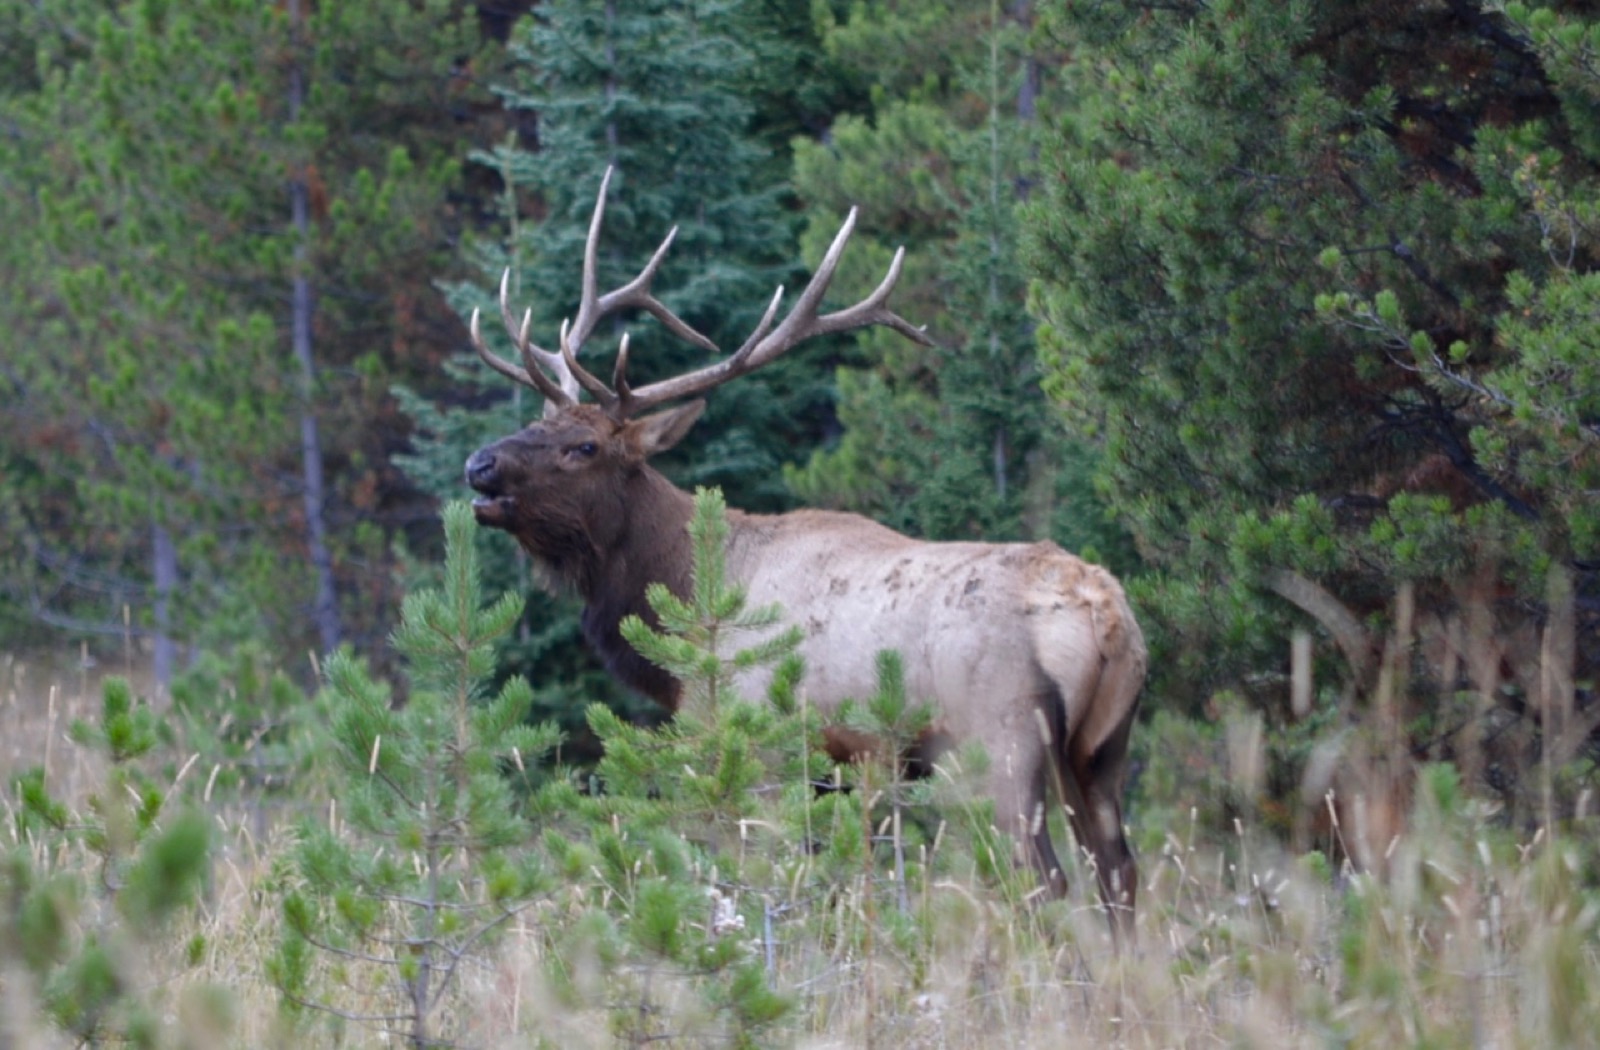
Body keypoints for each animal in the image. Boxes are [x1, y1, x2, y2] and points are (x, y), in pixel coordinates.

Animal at [462, 169, 1147, 945]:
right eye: (537, 421)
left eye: (584, 446)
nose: (480, 465)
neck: (684, 599)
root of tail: (1103, 613)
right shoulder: (842, 768)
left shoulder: (757, 743)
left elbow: (755, 874)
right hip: (1102, 747)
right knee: (1117, 871)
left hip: (997, 739)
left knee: (1041, 879)